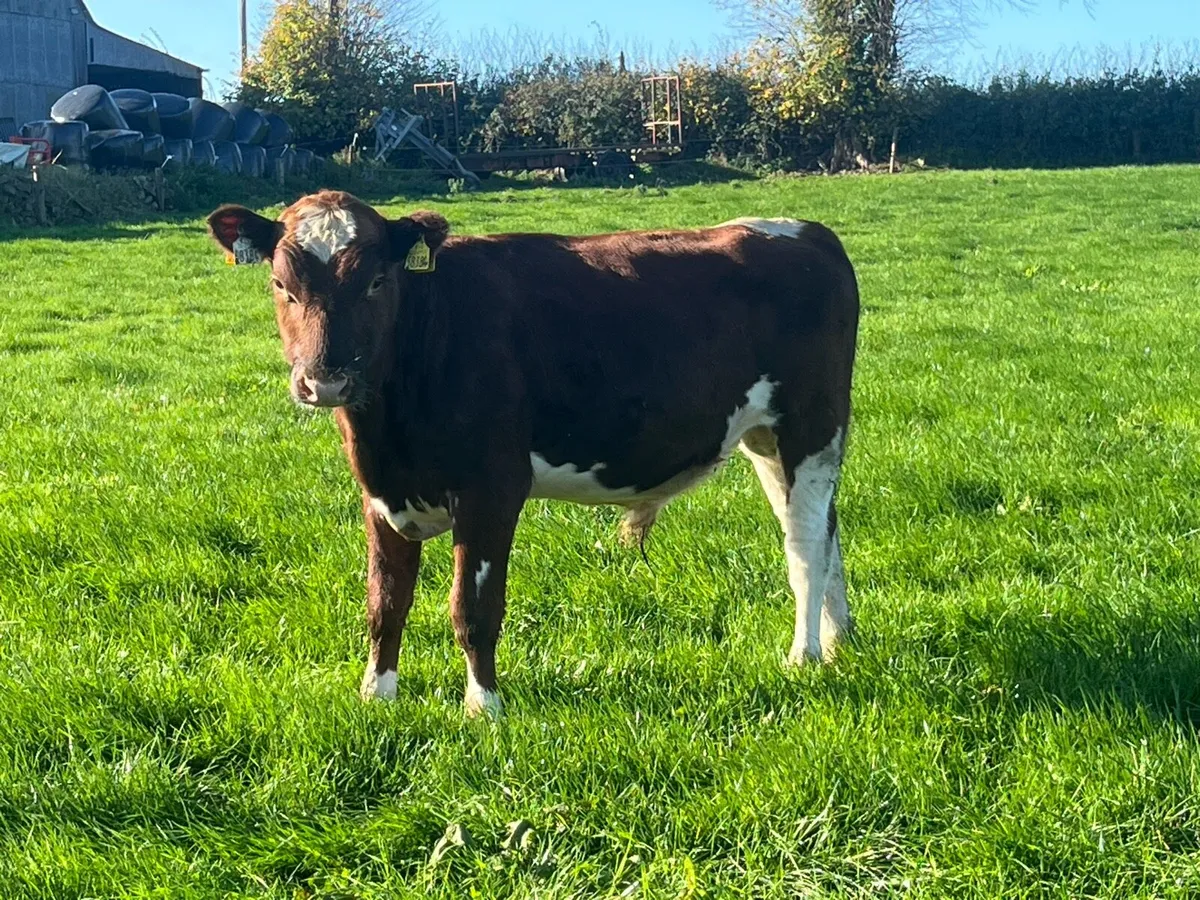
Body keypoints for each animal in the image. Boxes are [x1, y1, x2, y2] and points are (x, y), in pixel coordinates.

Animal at [207, 191, 860, 718]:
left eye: (375, 282)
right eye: (281, 285)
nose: (325, 381)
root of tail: (803, 230)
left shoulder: (492, 489)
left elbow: (472, 607)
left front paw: (483, 707)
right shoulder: (380, 494)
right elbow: (385, 602)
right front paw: (378, 696)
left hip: (813, 425)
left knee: (805, 544)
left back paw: (804, 655)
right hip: (766, 439)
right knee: (826, 531)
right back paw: (839, 640)